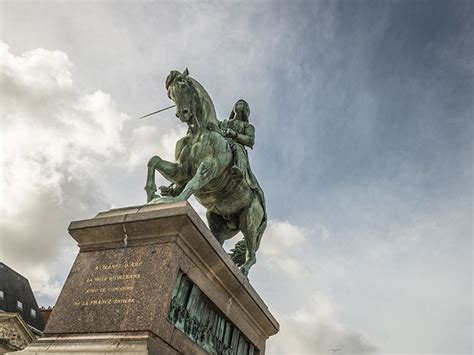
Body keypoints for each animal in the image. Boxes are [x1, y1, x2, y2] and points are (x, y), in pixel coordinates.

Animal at [143, 69, 266, 276]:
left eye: (184, 85)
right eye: (170, 94)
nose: (182, 114)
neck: (199, 131)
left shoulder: (209, 167)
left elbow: (193, 183)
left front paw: (173, 200)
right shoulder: (180, 171)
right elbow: (154, 160)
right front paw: (152, 194)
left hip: (249, 221)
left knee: (253, 254)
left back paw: (243, 272)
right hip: (217, 220)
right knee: (219, 241)